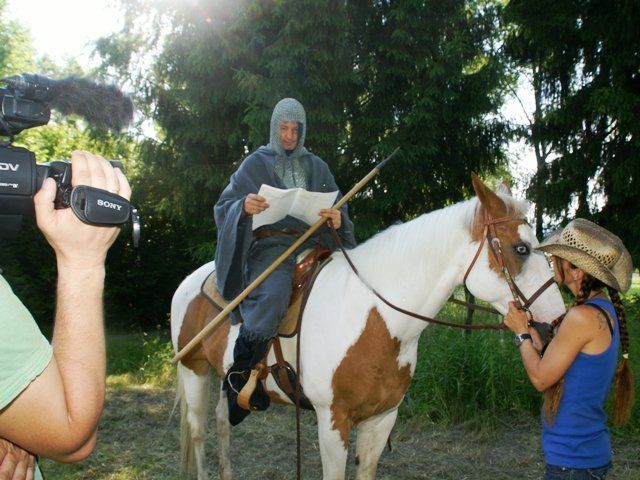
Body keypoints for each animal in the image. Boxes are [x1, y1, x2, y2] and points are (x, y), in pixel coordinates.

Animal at [169, 176, 564, 480]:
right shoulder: (332, 422)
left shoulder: (382, 418)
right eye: (521, 248)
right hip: (194, 370)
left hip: (223, 380)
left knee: (222, 423)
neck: (374, 317)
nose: (557, 322)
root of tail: (188, 280)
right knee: (200, 432)